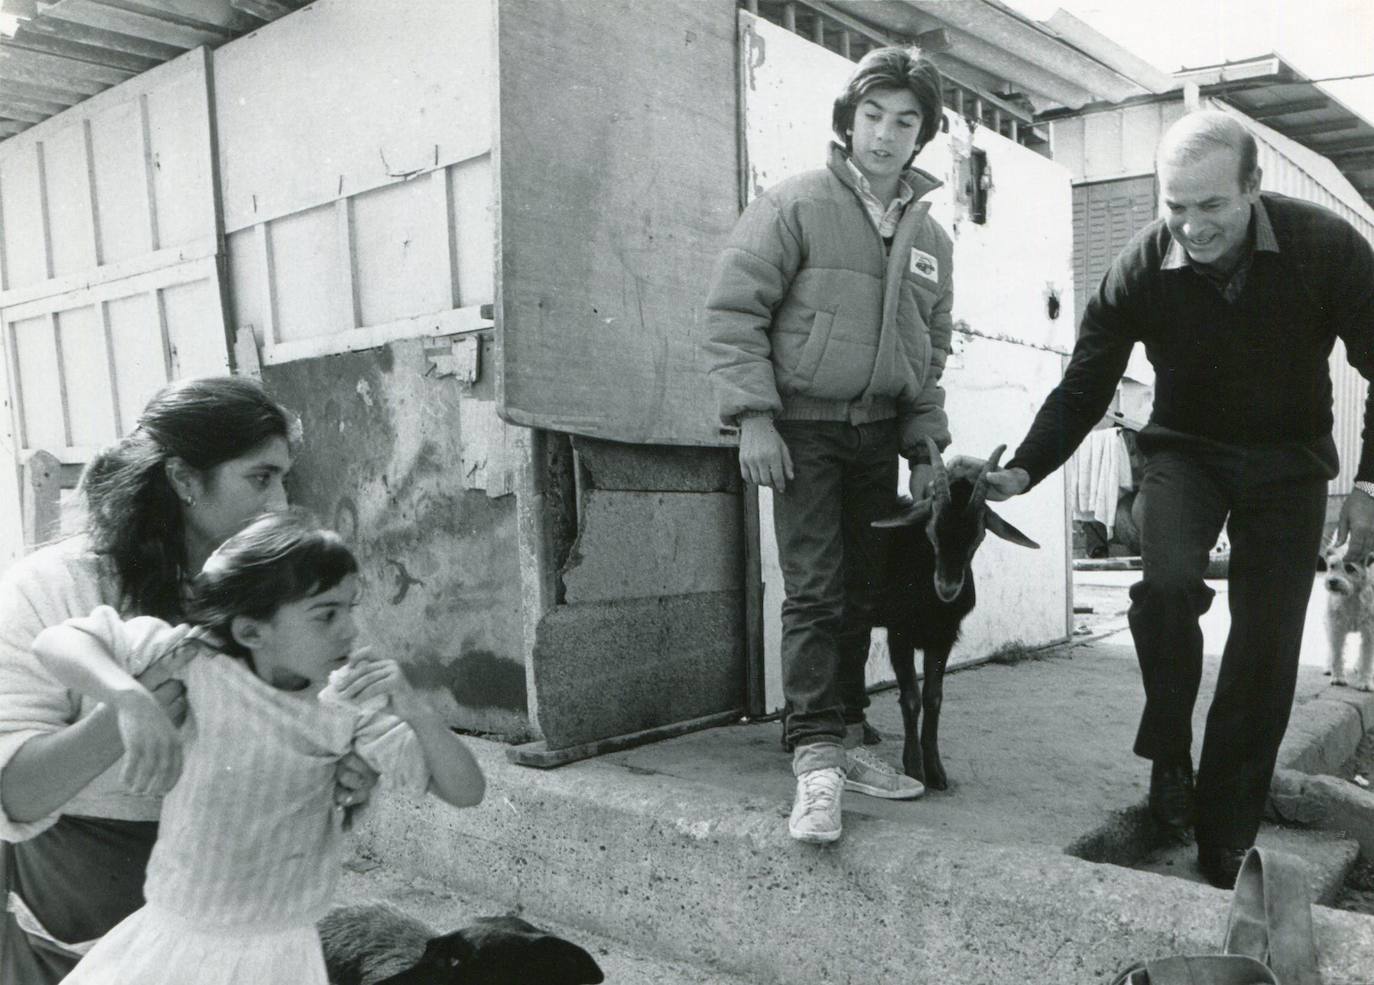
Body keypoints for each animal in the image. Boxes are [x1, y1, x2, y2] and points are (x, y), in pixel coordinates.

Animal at [868, 436, 1038, 791]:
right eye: (931, 529)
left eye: (979, 534)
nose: (948, 588)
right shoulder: (899, 634)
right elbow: (912, 698)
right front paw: (914, 769)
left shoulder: (943, 636)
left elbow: (934, 697)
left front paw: (936, 771)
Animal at [1319, 546, 1374, 692]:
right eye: (1332, 566)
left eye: (1349, 568)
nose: (1332, 581)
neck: (1352, 596)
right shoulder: (1336, 628)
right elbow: (1337, 653)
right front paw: (1338, 678)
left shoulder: (1370, 633)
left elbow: (1367, 658)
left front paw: (1365, 681)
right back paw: (1328, 667)